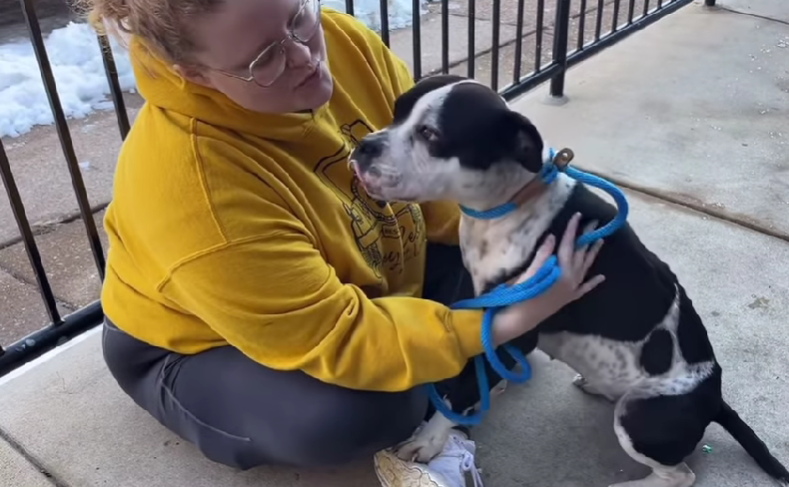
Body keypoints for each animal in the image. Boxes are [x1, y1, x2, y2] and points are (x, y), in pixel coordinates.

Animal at [350, 73, 788, 487]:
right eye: (397, 111)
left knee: (680, 475)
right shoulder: (475, 300)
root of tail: (715, 399)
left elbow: (462, 389)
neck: (512, 201)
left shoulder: (514, 331)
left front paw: (431, 438)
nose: (364, 146)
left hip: (638, 416)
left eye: (431, 134)